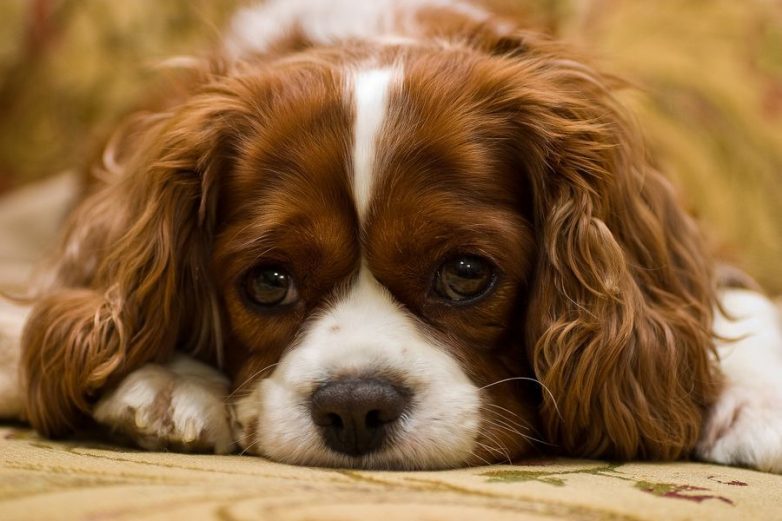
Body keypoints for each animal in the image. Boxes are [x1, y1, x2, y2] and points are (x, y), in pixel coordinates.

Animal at [0, 0, 781, 471]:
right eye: (269, 281)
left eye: (465, 272)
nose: (354, 407)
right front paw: (169, 380)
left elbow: (731, 302)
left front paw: (757, 397)